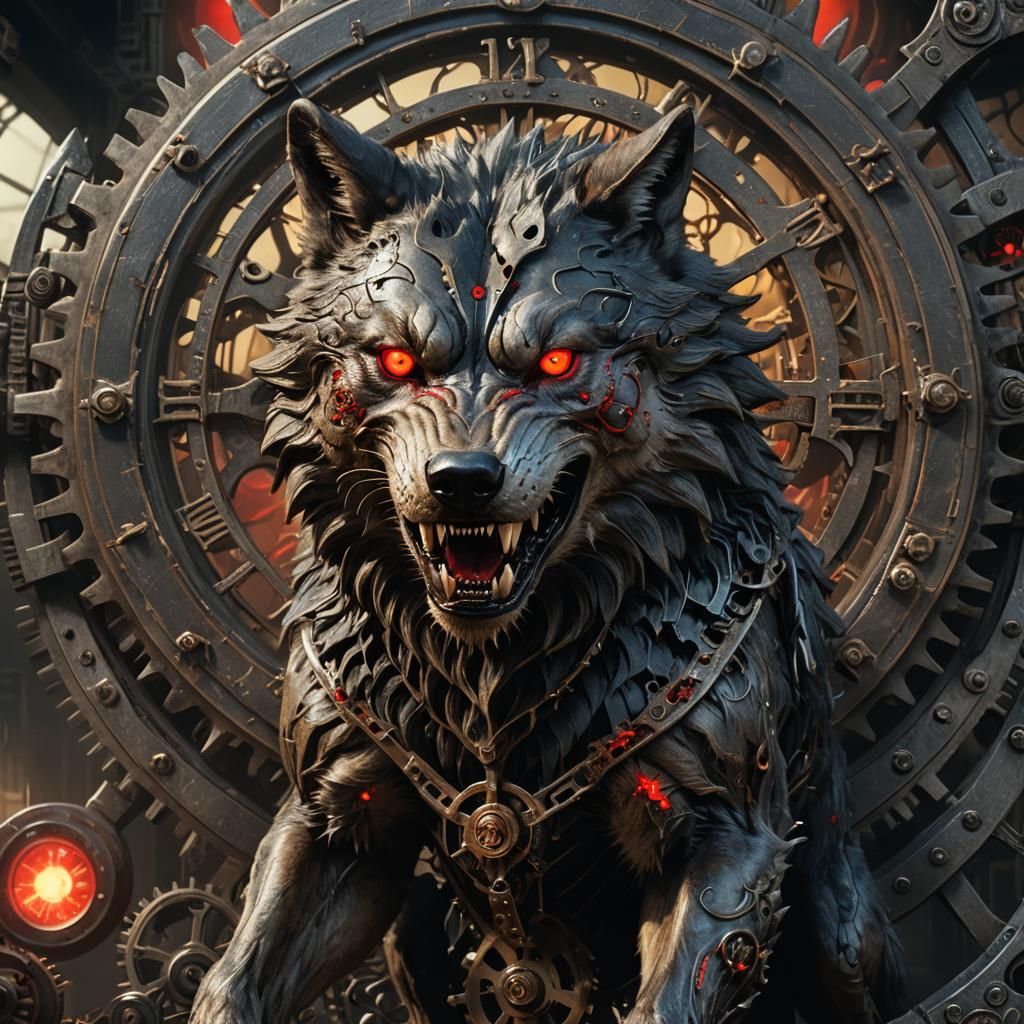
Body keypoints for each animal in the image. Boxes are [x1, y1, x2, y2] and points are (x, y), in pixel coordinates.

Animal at [191, 98, 906, 1024]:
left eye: (558, 362)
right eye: (396, 359)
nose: (462, 480)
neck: (495, 684)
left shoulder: (726, 838)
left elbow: (668, 1000)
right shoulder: (333, 823)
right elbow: (230, 981)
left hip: (843, 944)